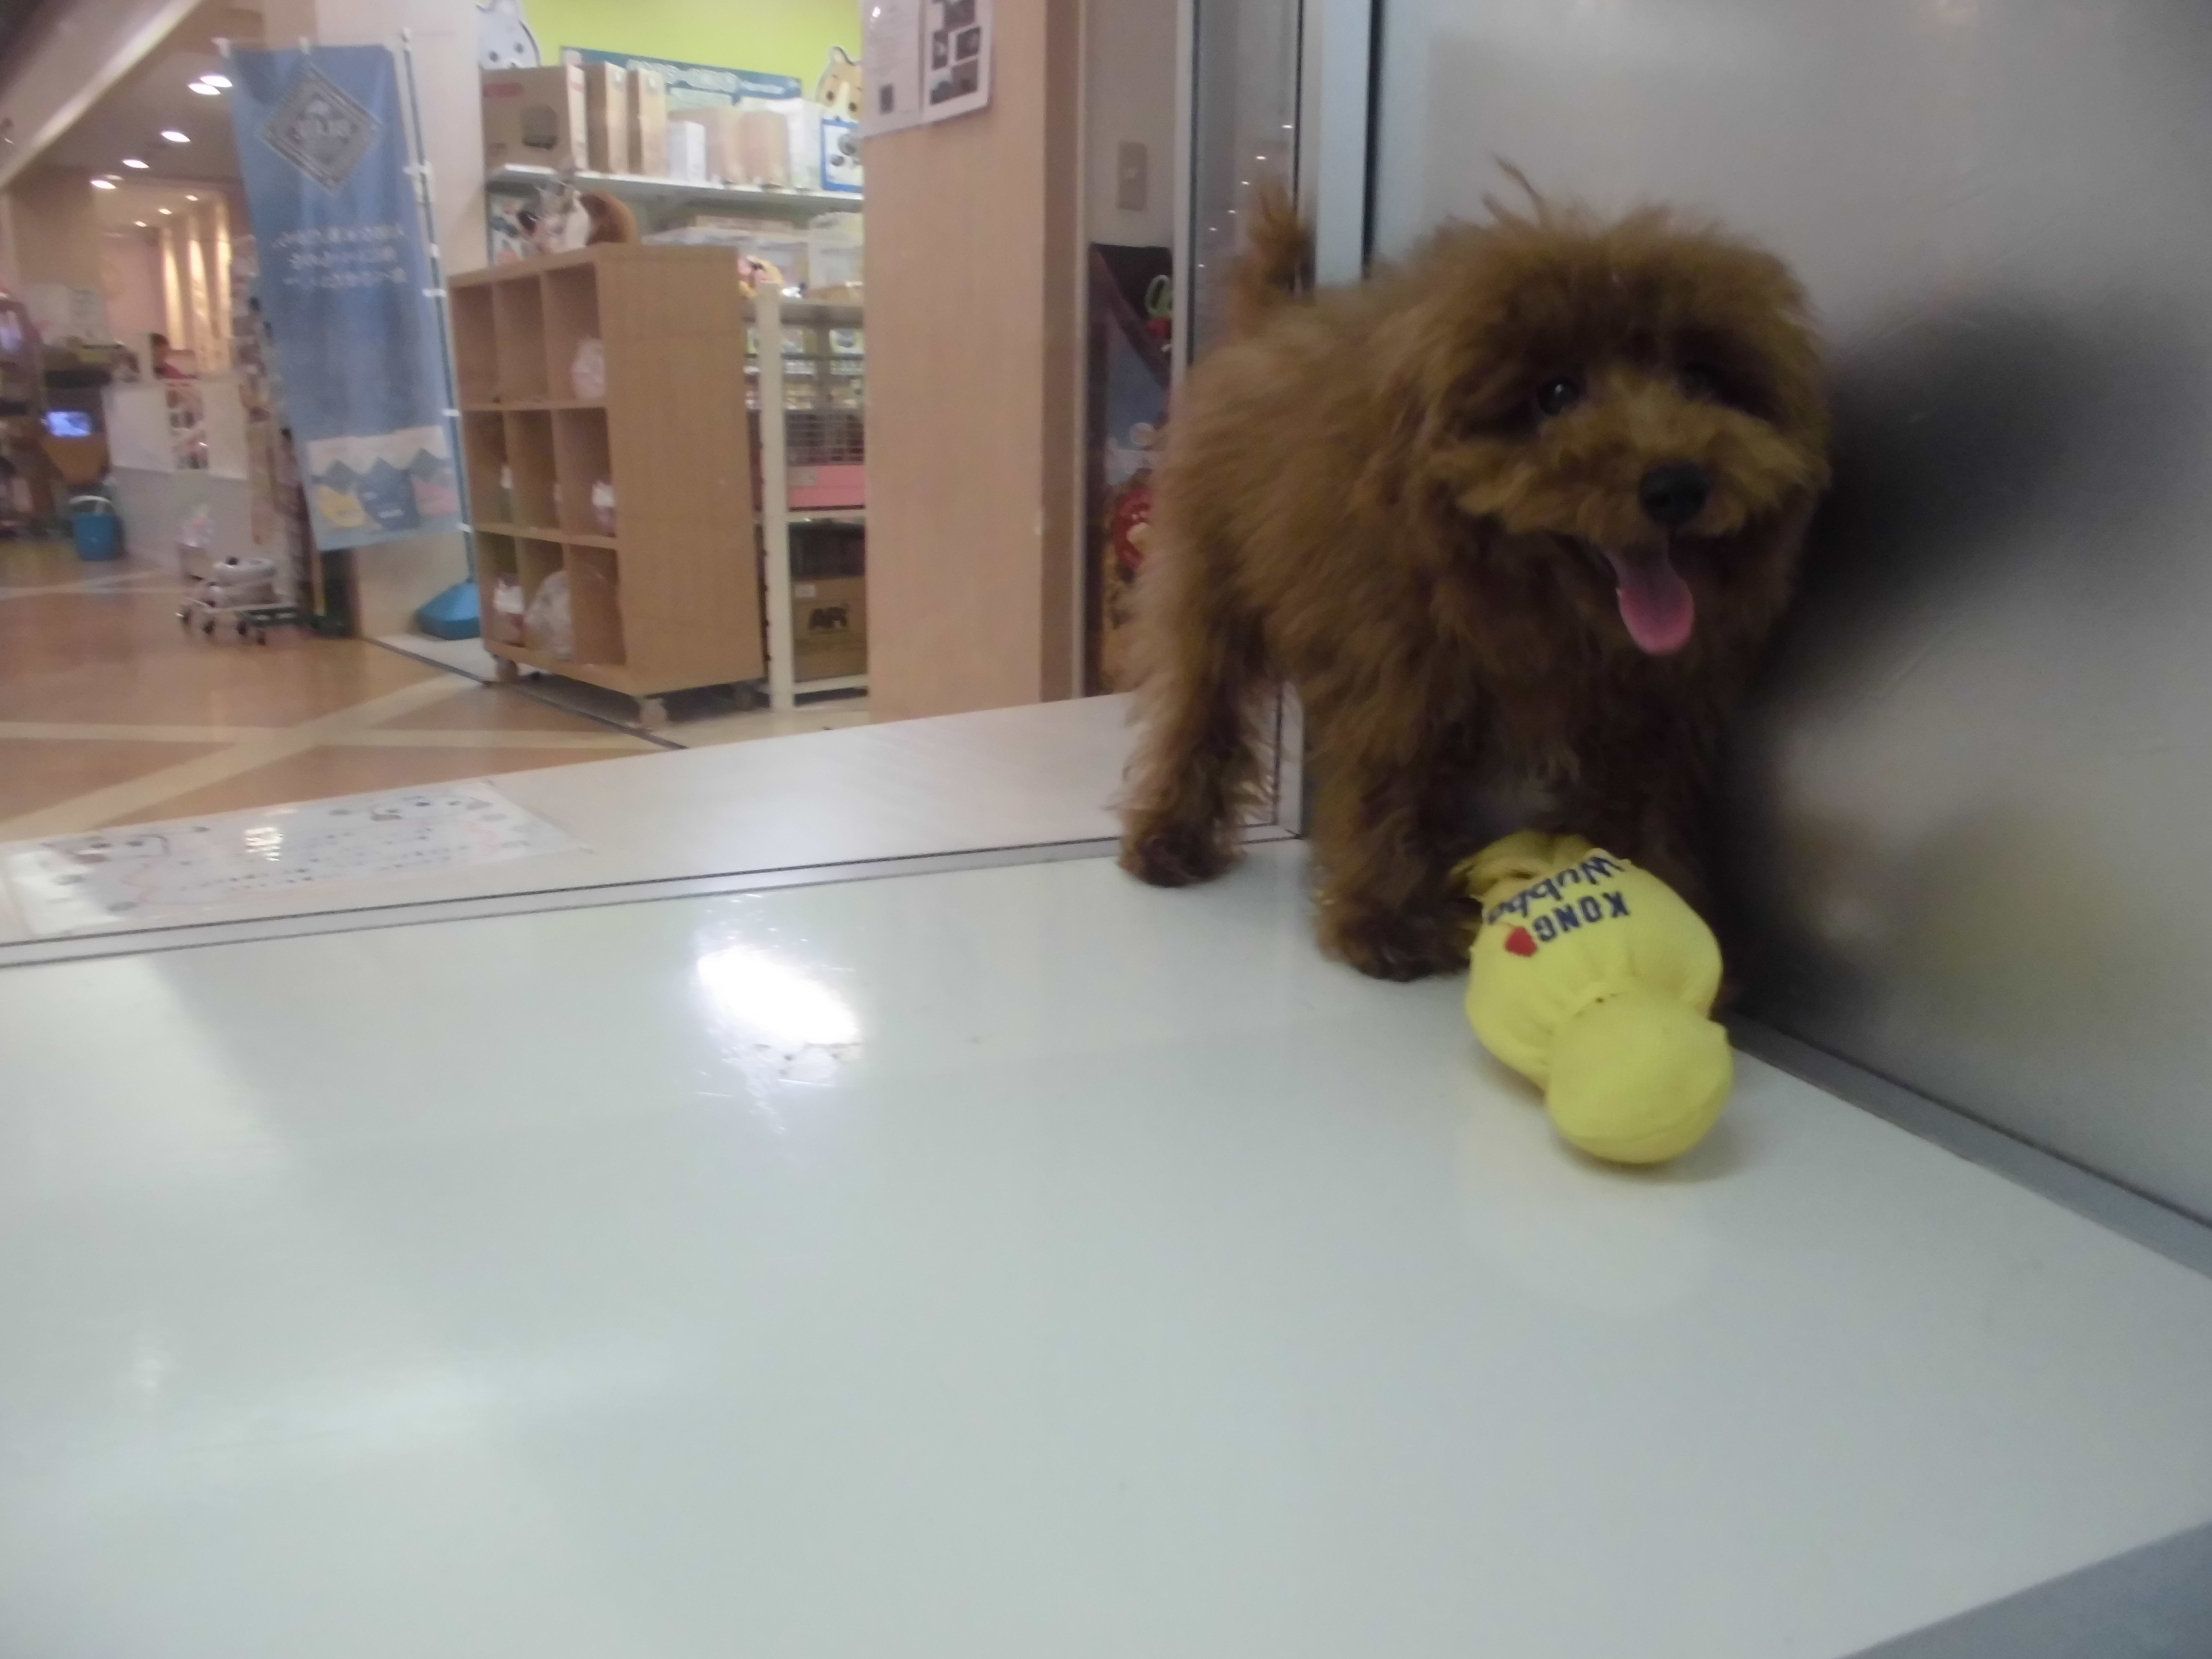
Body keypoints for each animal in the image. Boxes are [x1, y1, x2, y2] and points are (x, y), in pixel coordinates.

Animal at [1119, 183, 1830, 981]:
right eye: (1556, 393)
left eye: (1701, 379)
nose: (1678, 484)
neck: (1546, 608)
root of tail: (1268, 326)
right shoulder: (1398, 675)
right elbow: (1394, 786)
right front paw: (1392, 926)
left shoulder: (1650, 711)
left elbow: (1642, 800)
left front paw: (1669, 906)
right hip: (1210, 583)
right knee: (1197, 706)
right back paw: (1169, 839)